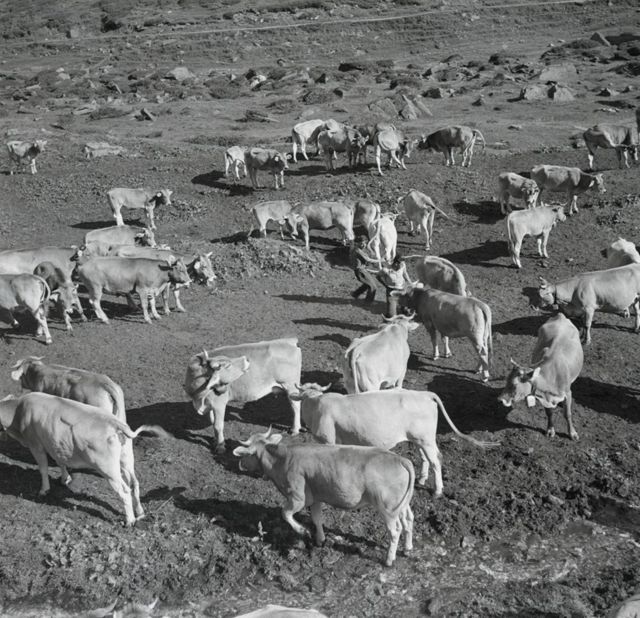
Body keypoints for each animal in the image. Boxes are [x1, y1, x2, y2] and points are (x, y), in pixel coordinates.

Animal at [0, 392, 167, 526]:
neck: (18, 410)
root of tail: (114, 422)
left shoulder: (36, 445)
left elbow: (43, 469)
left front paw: (44, 490)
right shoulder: (54, 443)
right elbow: (60, 461)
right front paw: (65, 479)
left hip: (109, 469)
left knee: (125, 491)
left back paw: (130, 520)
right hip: (126, 459)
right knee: (134, 484)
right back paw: (140, 512)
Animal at [233, 428, 415, 567]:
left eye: (245, 454)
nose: (240, 465)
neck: (282, 459)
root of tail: (400, 459)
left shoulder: (298, 497)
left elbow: (285, 513)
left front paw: (302, 530)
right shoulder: (315, 497)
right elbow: (316, 518)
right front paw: (320, 540)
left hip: (388, 508)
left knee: (395, 530)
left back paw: (389, 560)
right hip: (402, 505)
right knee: (408, 520)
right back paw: (407, 548)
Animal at [294, 384, 499, 492]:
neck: (316, 405)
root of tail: (424, 394)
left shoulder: (328, 440)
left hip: (426, 439)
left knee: (435, 460)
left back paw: (438, 490)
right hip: (418, 439)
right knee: (426, 458)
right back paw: (422, 480)